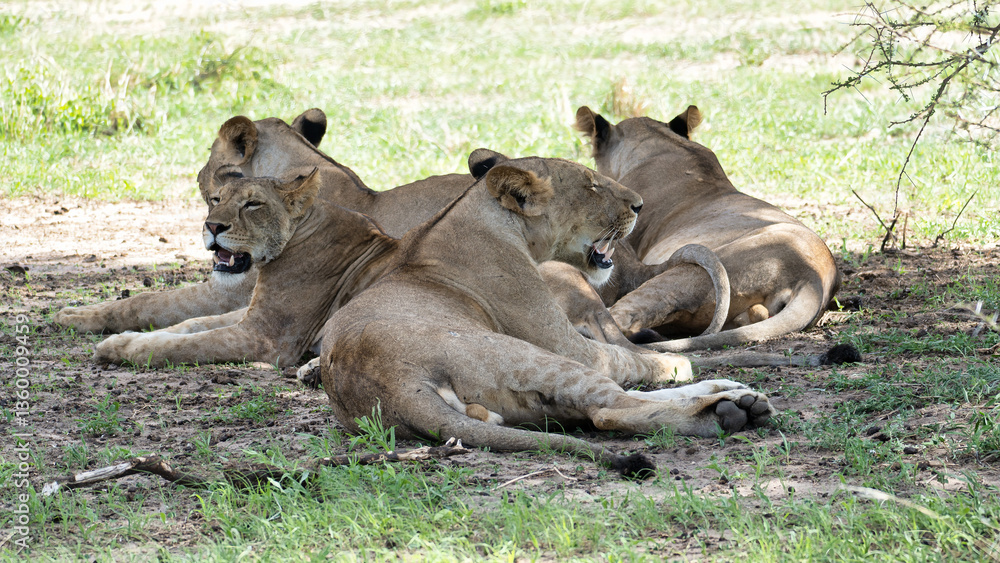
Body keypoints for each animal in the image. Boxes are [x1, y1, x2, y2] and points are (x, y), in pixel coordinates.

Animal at [314, 150, 775, 477]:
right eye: (591, 185)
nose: (640, 205)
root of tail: (393, 388)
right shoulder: (565, 342)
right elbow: (635, 359)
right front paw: (677, 363)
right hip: (533, 358)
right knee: (610, 410)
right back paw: (729, 412)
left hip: (527, 405)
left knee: (603, 405)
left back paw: (732, 394)